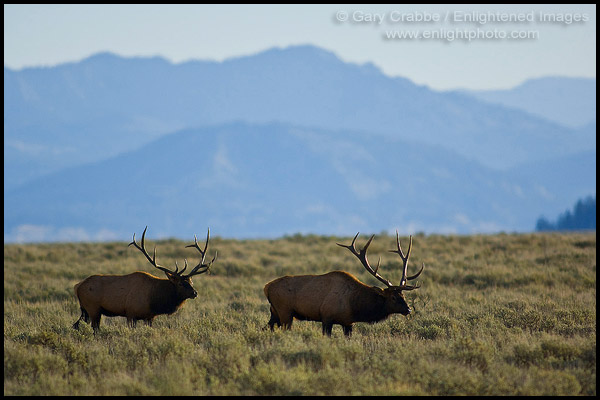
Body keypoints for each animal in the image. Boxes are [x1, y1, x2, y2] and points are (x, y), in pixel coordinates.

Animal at [73, 227, 218, 332]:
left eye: (191, 281)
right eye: (181, 284)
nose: (195, 293)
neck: (154, 299)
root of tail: (77, 286)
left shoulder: (150, 317)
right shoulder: (130, 313)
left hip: (86, 310)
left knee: (77, 325)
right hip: (93, 309)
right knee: (94, 329)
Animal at [264, 231, 426, 338]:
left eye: (403, 294)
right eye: (393, 297)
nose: (408, 309)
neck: (355, 305)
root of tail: (266, 287)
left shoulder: (348, 323)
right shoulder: (327, 317)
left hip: (274, 312)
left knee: (266, 327)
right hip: (285, 312)